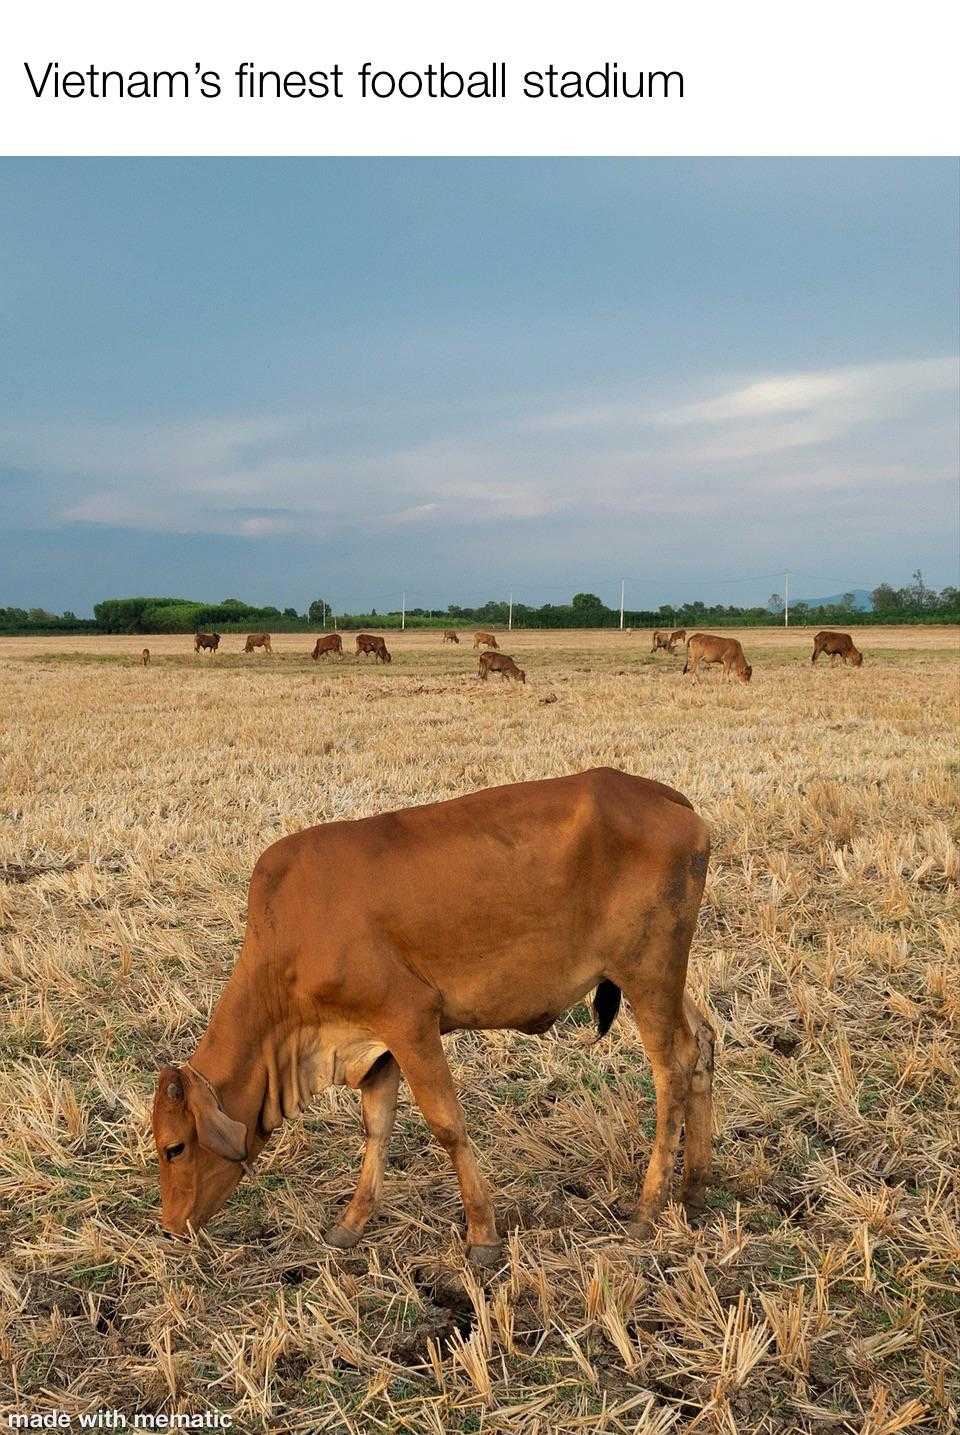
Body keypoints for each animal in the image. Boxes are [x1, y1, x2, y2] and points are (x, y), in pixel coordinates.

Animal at [149, 769, 711, 1262]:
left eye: (174, 1148)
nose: (172, 1227)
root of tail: (664, 797)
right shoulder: (377, 1044)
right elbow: (376, 1129)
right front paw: (349, 1226)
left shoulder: (410, 1019)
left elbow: (447, 1125)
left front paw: (482, 1236)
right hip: (662, 977)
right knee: (703, 1039)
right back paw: (694, 1191)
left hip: (646, 973)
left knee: (672, 1069)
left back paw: (648, 1208)